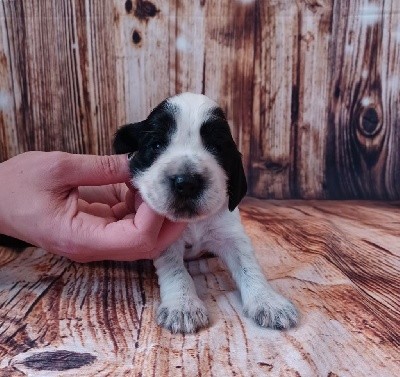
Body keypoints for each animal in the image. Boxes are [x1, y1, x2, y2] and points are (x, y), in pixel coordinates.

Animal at [112, 92, 296, 334]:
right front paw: (183, 306)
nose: (186, 182)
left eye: (217, 148)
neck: (193, 222)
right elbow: (175, 269)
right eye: (157, 144)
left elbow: (248, 266)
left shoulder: (231, 234)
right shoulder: (164, 240)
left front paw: (268, 301)